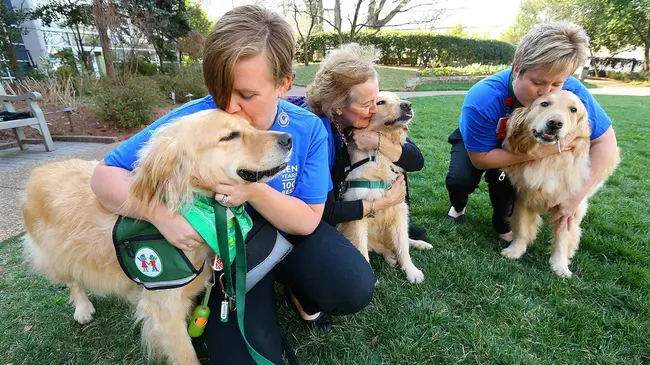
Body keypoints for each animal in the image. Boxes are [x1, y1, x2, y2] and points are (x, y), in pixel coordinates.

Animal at [20, 109, 292, 364]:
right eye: (230, 136)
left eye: (250, 125)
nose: (288, 139)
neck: (194, 206)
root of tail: (40, 169)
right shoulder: (166, 311)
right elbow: (186, 356)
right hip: (55, 253)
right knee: (72, 280)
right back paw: (83, 308)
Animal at [334, 89, 430, 282]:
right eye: (379, 102)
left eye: (398, 99)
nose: (407, 104)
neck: (379, 158)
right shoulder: (359, 215)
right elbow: (362, 250)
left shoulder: (399, 210)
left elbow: (403, 246)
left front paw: (411, 271)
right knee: (379, 247)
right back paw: (391, 257)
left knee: (405, 240)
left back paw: (420, 244)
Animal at [502, 90, 616, 276]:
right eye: (544, 103)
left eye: (573, 109)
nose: (555, 123)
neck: (549, 160)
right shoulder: (523, 198)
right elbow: (522, 228)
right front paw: (515, 250)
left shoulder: (568, 209)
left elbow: (563, 239)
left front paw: (560, 266)